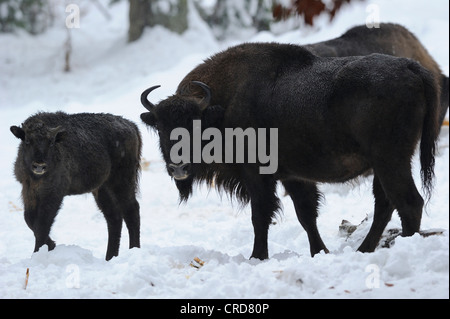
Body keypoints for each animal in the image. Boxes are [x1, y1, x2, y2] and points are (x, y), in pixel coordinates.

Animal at [10, 111, 142, 262]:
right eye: (27, 141)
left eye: (51, 143)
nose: (39, 165)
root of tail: (132, 126)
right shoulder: (29, 191)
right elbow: (30, 219)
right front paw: (51, 246)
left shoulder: (54, 193)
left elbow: (42, 223)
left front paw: (41, 252)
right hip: (102, 188)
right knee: (114, 217)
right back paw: (110, 257)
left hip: (122, 182)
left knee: (131, 210)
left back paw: (134, 250)